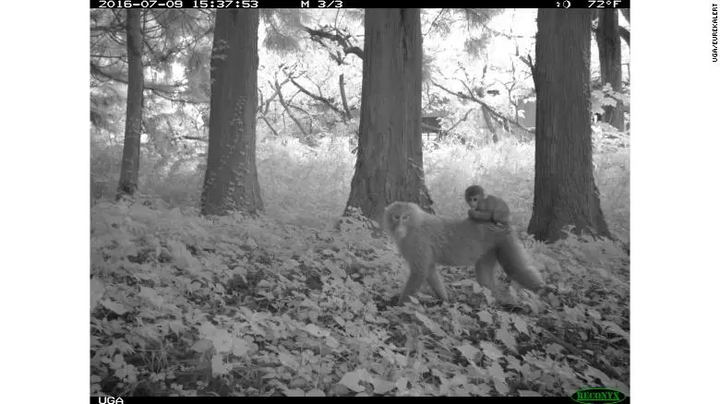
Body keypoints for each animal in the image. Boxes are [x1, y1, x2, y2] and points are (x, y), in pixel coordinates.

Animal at [382, 200, 540, 304]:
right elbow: (430, 270)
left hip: (504, 240)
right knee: (484, 275)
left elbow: (419, 273)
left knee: (515, 269)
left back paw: (540, 290)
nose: (399, 228)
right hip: (492, 249)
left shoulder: (418, 243)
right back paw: (494, 300)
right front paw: (444, 299)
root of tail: (500, 224)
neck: (413, 227)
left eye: (405, 217)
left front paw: (399, 307)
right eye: (396, 217)